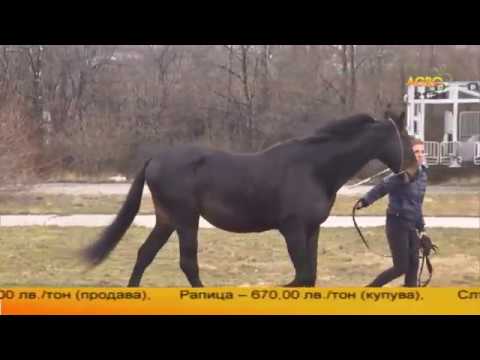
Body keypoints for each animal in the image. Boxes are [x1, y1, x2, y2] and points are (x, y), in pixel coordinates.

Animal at [82, 110, 416, 286]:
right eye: (408, 141)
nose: (415, 171)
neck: (314, 168)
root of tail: (154, 159)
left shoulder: (312, 229)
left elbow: (310, 275)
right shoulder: (292, 230)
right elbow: (302, 274)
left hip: (166, 220)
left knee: (145, 255)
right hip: (186, 219)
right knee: (187, 263)